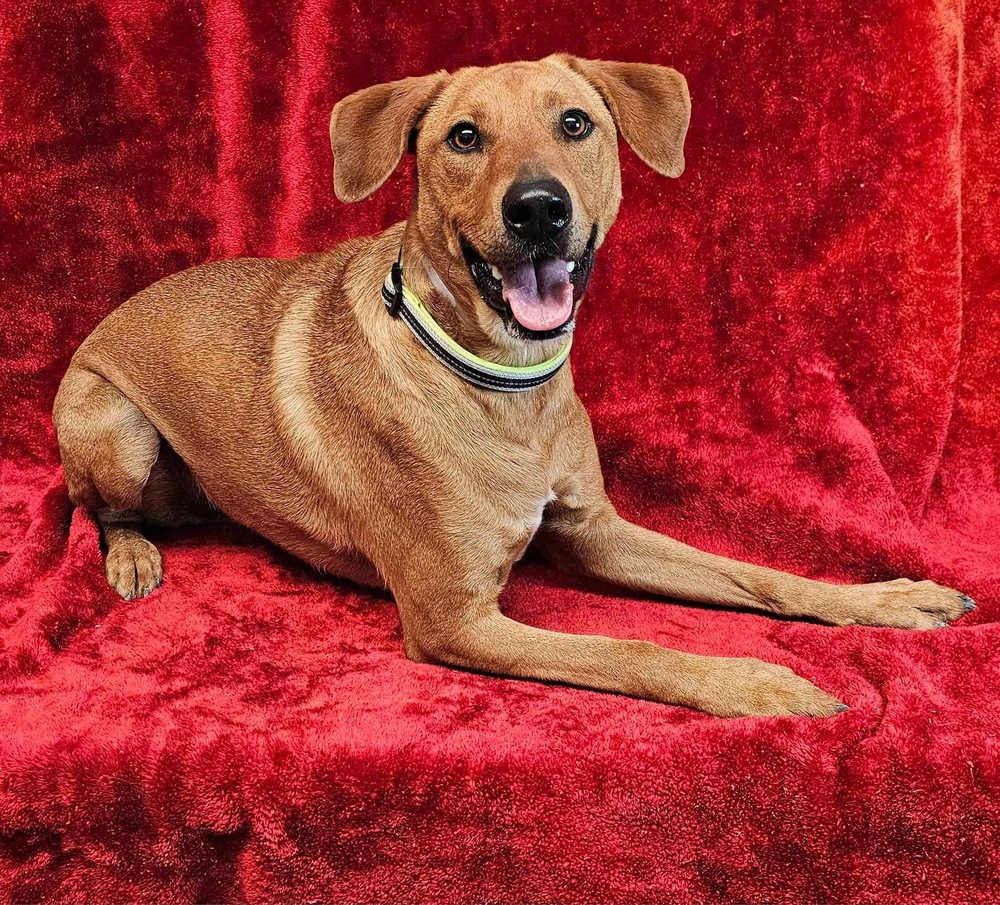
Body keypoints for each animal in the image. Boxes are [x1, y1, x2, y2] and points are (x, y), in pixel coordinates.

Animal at [50, 58, 972, 720]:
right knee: (97, 509)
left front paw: (891, 598)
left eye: (575, 123)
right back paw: (132, 554)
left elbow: (758, 573)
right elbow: (629, 650)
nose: (537, 208)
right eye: (463, 136)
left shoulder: (597, 530)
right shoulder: (455, 618)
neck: (506, 391)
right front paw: (758, 683)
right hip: (114, 427)